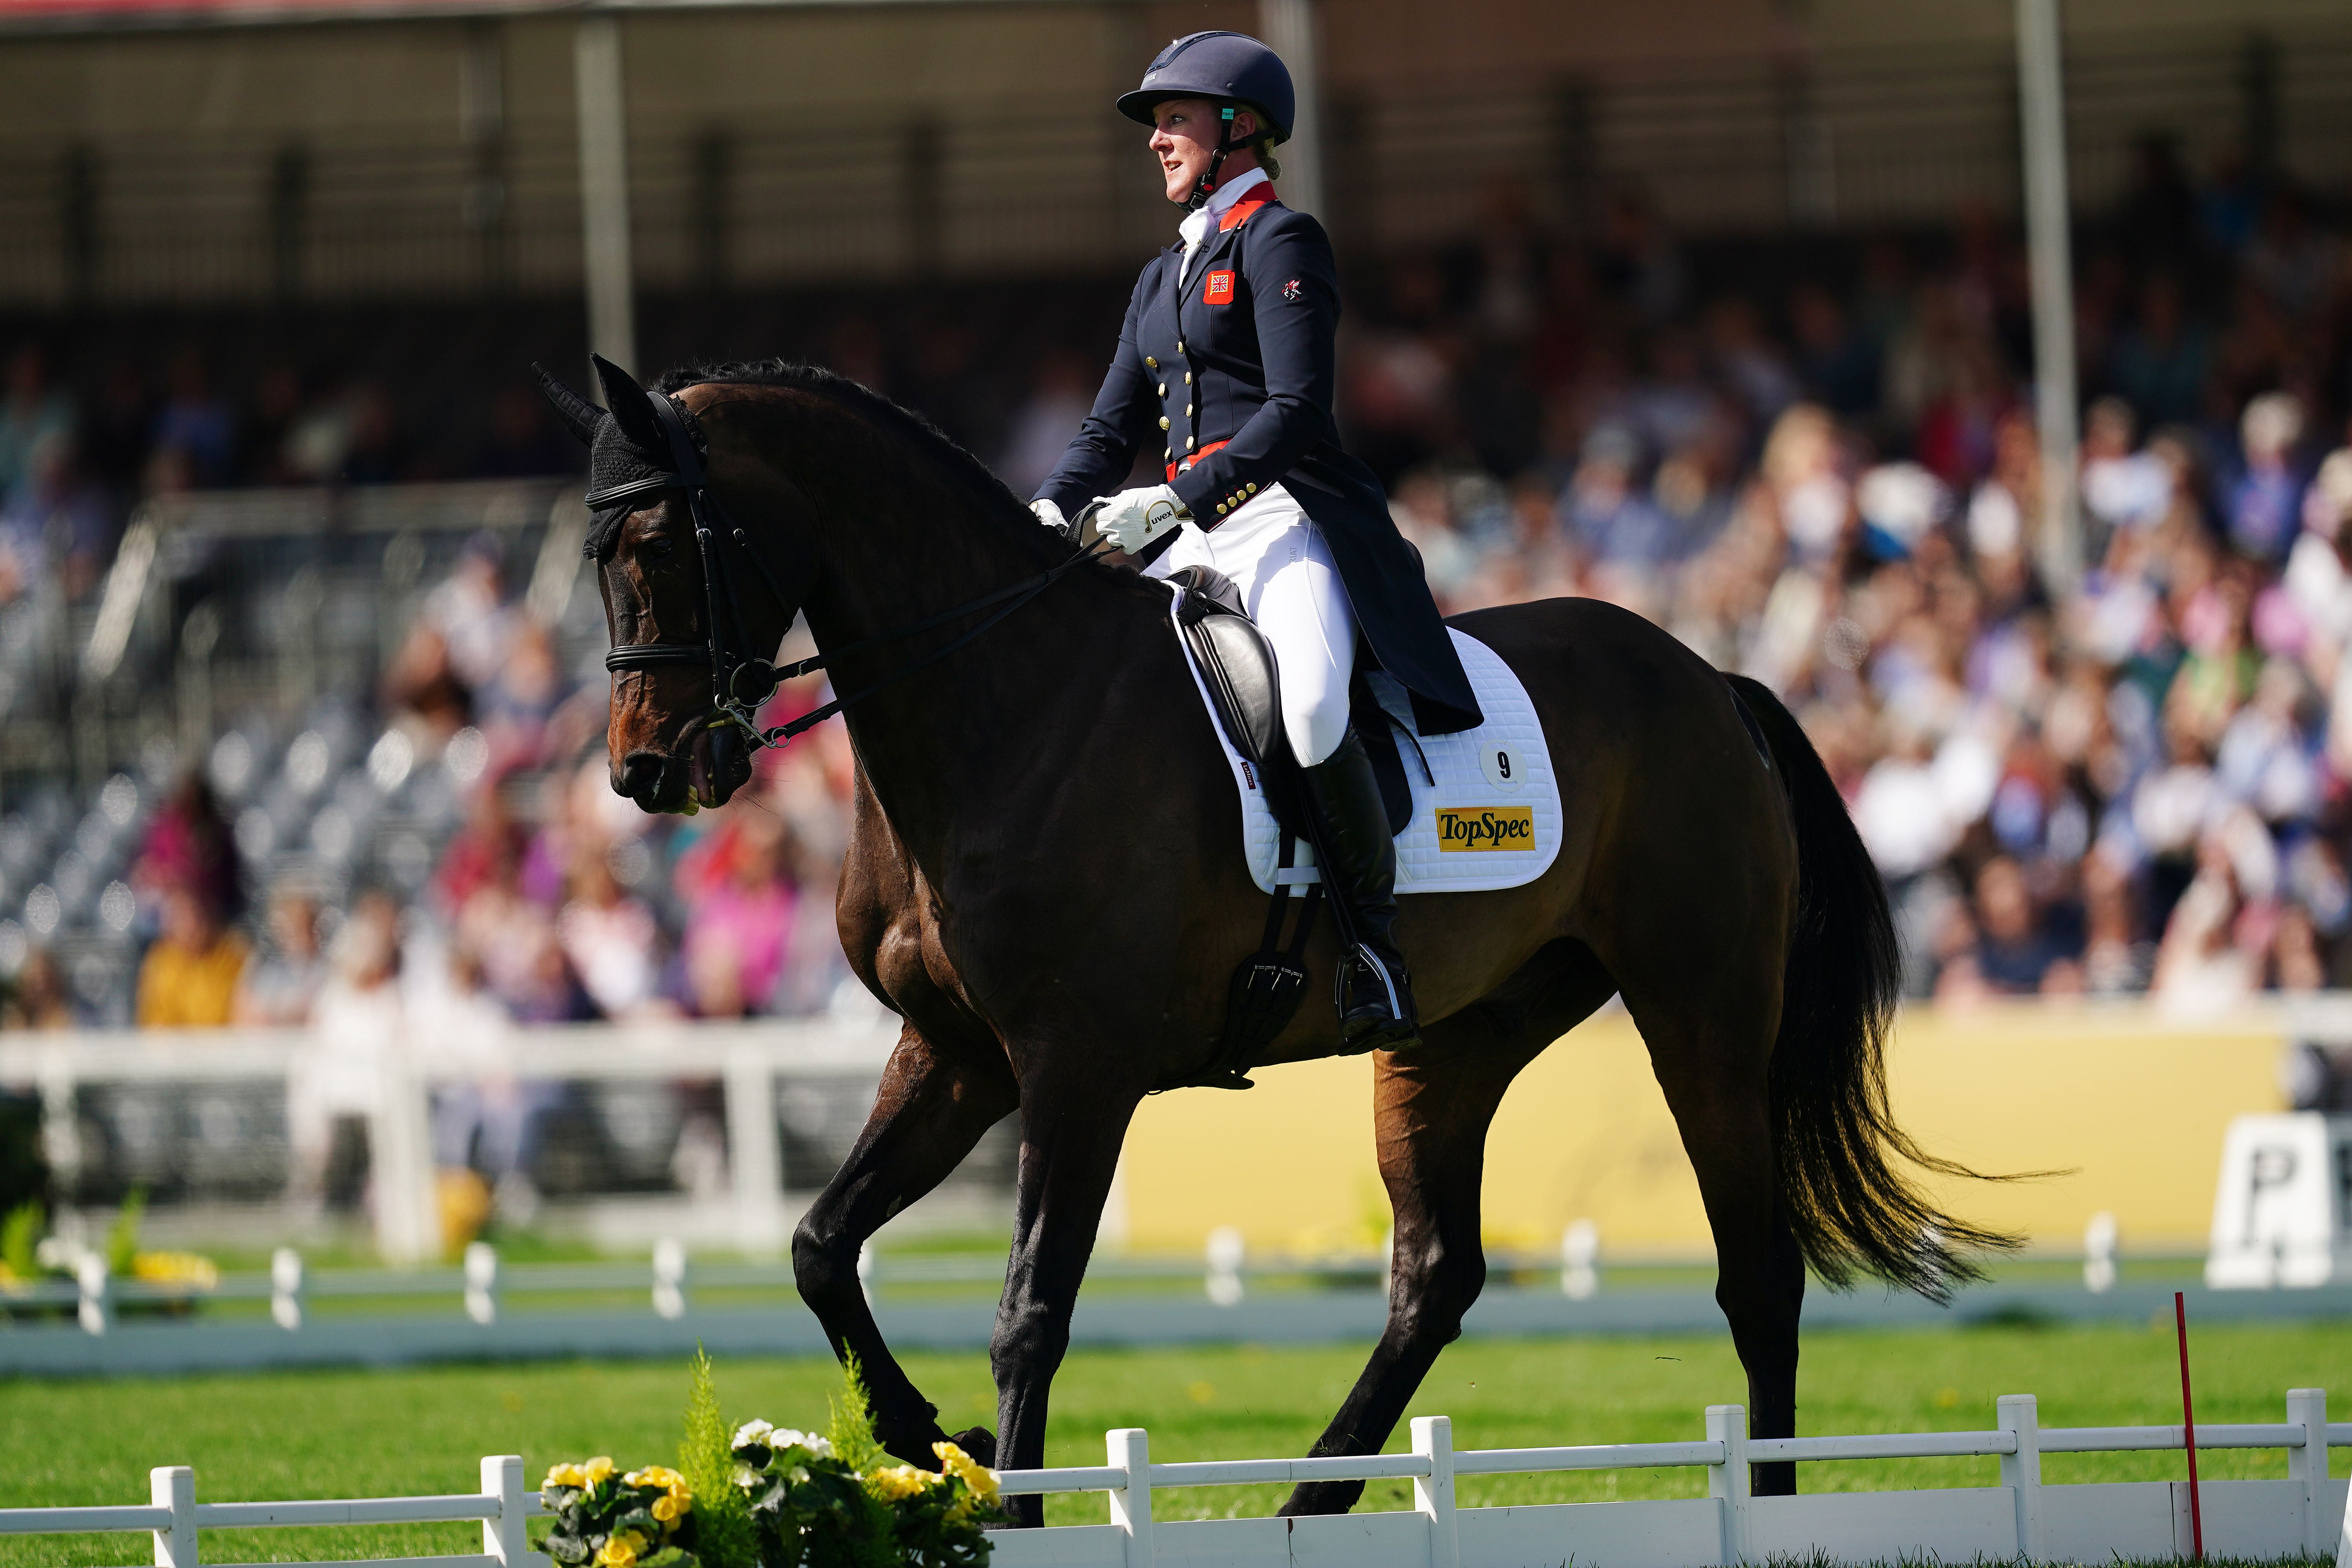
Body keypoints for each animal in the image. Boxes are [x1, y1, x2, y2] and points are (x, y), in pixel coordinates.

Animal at [546, 355, 2004, 1523]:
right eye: (593, 557)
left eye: (664, 543)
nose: (648, 774)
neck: (1001, 707)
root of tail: (1708, 680)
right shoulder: (956, 1054)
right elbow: (819, 1247)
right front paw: (925, 1437)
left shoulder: (1075, 1070)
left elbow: (1030, 1313)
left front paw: (1011, 1505)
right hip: (1456, 1037)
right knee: (1435, 1276)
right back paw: (1316, 1496)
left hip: (1701, 1014)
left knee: (1756, 1275)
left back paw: (1765, 1502)